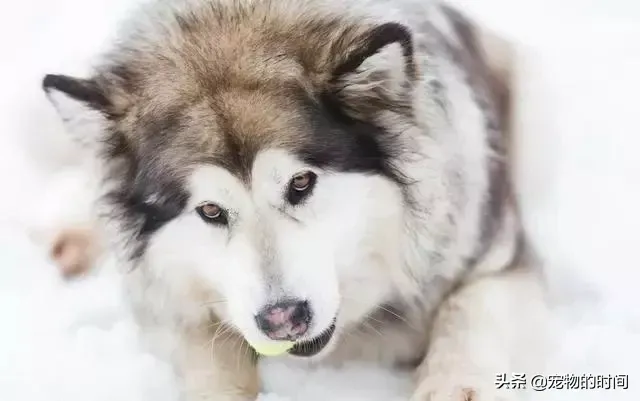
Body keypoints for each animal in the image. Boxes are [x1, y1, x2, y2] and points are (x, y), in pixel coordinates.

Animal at [42, 1, 548, 398]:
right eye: (210, 210)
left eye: (301, 183)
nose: (283, 320)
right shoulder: (167, 301)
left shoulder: (498, 258)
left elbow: (468, 312)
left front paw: (452, 384)